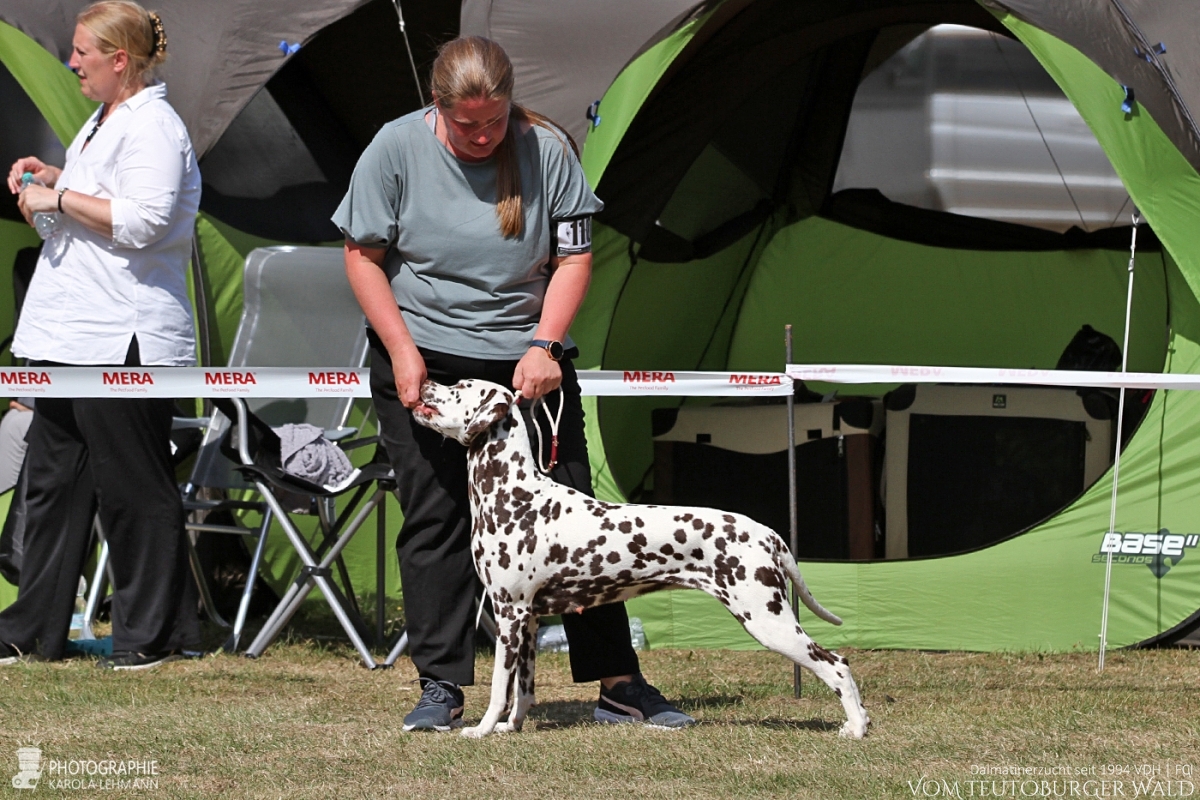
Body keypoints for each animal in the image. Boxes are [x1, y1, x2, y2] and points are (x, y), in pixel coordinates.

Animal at [415, 379, 873, 743]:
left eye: (458, 387)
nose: (423, 383)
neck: (514, 494)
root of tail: (766, 532)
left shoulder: (508, 614)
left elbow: (497, 688)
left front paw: (481, 730)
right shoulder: (527, 620)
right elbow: (523, 690)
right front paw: (510, 727)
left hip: (768, 620)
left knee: (837, 665)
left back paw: (855, 728)